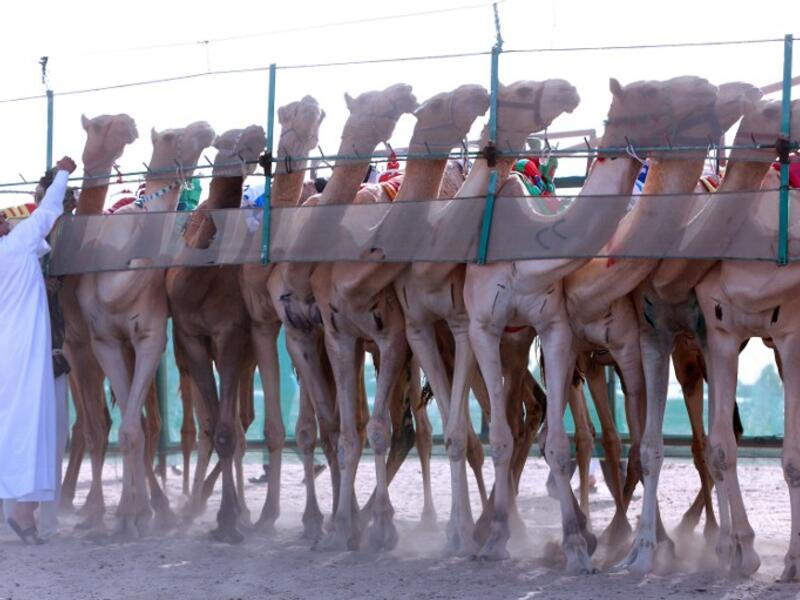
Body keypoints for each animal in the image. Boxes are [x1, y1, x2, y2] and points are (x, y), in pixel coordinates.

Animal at [77, 121, 216, 539]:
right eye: (170, 136)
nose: (206, 127)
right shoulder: (103, 341)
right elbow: (128, 428)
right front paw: (128, 514)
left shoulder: (151, 336)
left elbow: (134, 428)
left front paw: (135, 515)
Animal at [391, 80, 578, 556]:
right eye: (524, 89)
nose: (567, 89)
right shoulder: (422, 327)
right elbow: (458, 431)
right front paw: (460, 530)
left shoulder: (463, 324)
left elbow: (465, 432)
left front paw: (464, 531)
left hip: (513, 340)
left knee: (517, 414)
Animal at [462, 77, 721, 571]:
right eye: (651, 94)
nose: (709, 91)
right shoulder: (495, 328)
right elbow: (525, 438)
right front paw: (505, 536)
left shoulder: (599, 338)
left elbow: (618, 441)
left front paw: (604, 542)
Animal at [614, 97, 790, 575]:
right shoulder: (657, 337)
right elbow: (653, 444)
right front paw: (643, 550)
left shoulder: (708, 336)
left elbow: (716, 439)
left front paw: (732, 546)